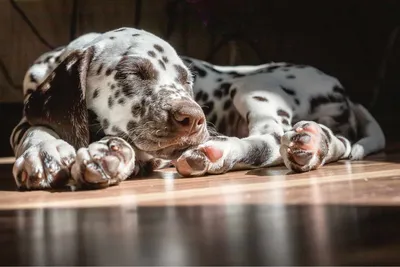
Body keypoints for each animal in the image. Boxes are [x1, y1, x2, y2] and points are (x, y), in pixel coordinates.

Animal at [9, 26, 384, 191]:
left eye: (186, 79)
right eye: (132, 73)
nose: (193, 119)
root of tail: (344, 92)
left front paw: (110, 153)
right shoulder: (24, 118)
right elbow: (35, 127)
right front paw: (43, 151)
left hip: (251, 86)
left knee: (270, 138)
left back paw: (218, 152)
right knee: (333, 143)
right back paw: (314, 142)